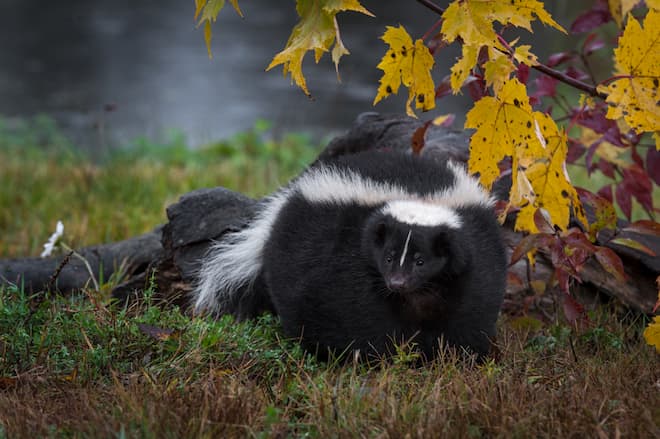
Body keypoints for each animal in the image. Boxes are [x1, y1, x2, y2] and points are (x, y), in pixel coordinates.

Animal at [195, 151, 506, 360]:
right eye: (389, 257)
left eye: (421, 261)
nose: (397, 283)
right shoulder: (346, 258)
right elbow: (360, 311)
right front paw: (380, 354)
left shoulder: (473, 256)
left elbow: (470, 307)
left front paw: (454, 355)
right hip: (300, 250)